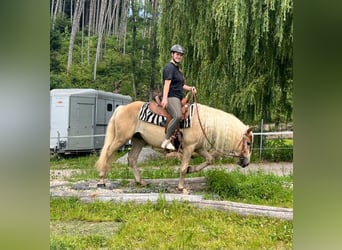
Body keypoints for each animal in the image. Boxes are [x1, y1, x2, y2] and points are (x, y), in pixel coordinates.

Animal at [95, 100, 252, 192]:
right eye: (249, 143)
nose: (246, 163)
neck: (202, 121)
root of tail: (121, 108)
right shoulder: (189, 147)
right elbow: (182, 168)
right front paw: (181, 187)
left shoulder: (199, 147)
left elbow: (209, 160)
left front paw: (191, 169)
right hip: (121, 138)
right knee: (107, 153)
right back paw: (101, 180)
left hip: (138, 140)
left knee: (132, 159)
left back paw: (141, 181)